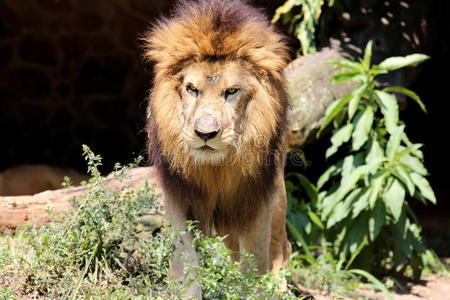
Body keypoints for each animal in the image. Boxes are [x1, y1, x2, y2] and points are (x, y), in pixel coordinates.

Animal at [144, 0, 292, 296]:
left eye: (231, 91)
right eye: (192, 89)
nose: (205, 133)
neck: (217, 168)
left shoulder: (256, 198)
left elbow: (254, 263)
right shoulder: (179, 196)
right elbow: (185, 262)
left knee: (280, 245)